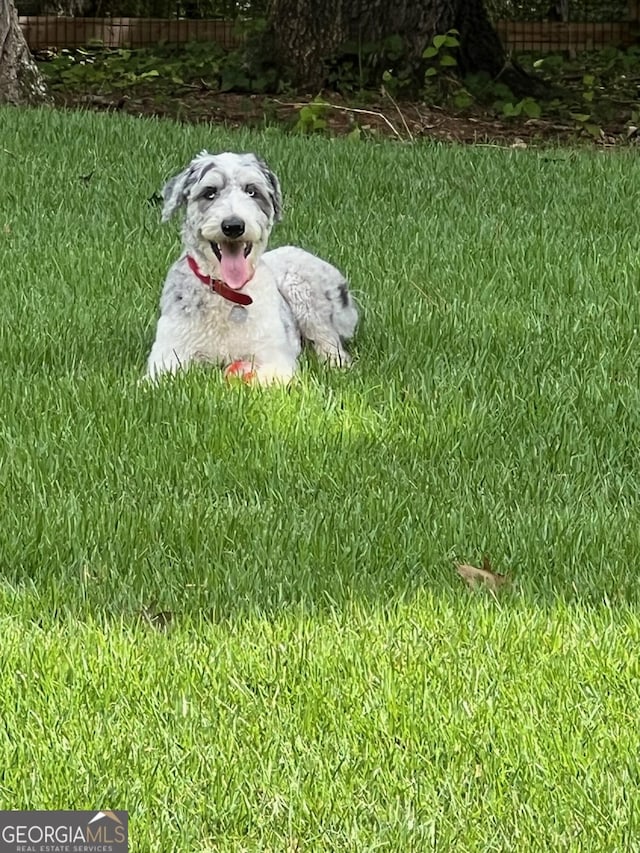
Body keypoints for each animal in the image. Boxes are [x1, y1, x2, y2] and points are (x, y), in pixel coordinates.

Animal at [146, 151, 360, 382]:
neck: (228, 292)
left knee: (330, 342)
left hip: (303, 292)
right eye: (209, 192)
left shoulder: (273, 356)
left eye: (252, 191)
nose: (233, 226)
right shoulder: (168, 353)